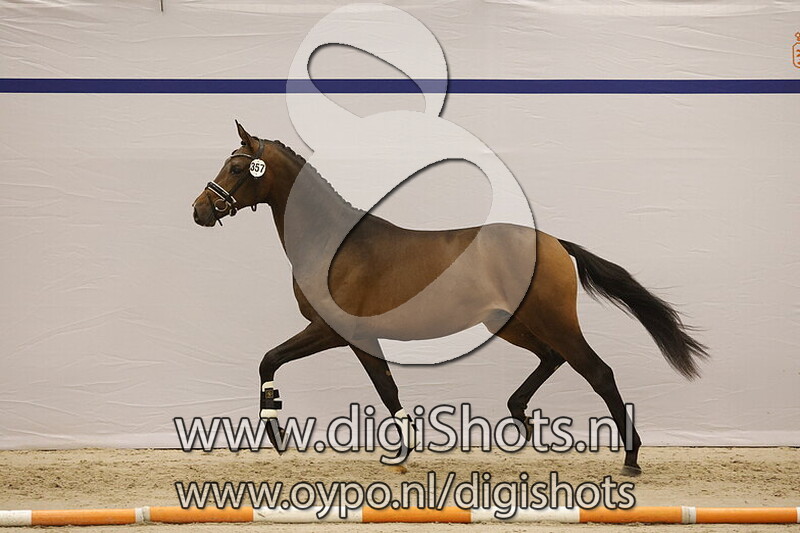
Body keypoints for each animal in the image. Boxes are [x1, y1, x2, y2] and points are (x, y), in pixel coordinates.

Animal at [191, 121, 708, 476]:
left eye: (236, 167)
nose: (199, 210)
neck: (334, 245)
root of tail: (555, 243)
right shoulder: (361, 338)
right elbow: (384, 390)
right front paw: (402, 450)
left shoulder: (335, 331)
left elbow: (273, 361)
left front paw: (276, 429)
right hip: (509, 323)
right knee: (551, 358)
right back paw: (521, 418)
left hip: (549, 319)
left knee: (598, 373)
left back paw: (631, 459)